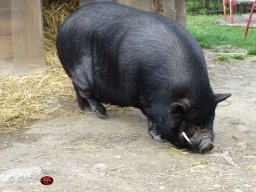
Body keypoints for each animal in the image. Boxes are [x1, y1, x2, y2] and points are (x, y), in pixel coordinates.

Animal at [57, 2, 231, 154]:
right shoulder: (143, 97)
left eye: (211, 118)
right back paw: (102, 114)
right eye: (187, 122)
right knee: (85, 92)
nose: (208, 145)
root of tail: (64, 24)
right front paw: (159, 138)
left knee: (77, 90)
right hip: (80, 71)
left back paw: (85, 109)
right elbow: (151, 117)